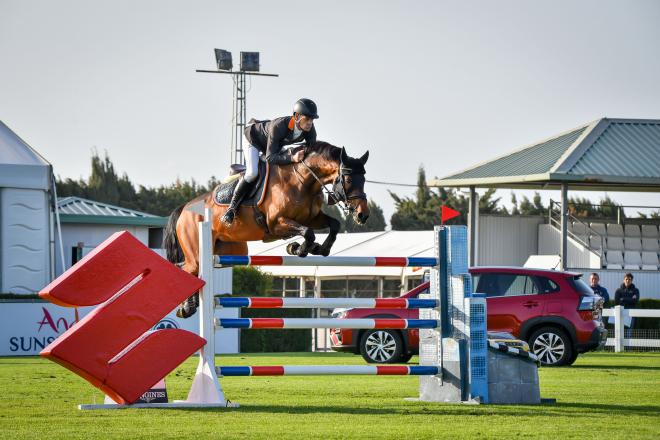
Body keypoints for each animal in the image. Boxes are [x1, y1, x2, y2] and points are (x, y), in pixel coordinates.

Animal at [164, 143, 372, 318]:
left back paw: (188, 307)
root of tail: (184, 209)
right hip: (197, 252)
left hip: (225, 251)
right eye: (347, 179)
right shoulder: (277, 223)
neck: (302, 180)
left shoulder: (311, 218)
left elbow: (333, 225)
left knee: (190, 268)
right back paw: (185, 308)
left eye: (364, 179)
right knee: (187, 268)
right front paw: (298, 248)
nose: (363, 215)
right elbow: (308, 233)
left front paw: (320, 248)